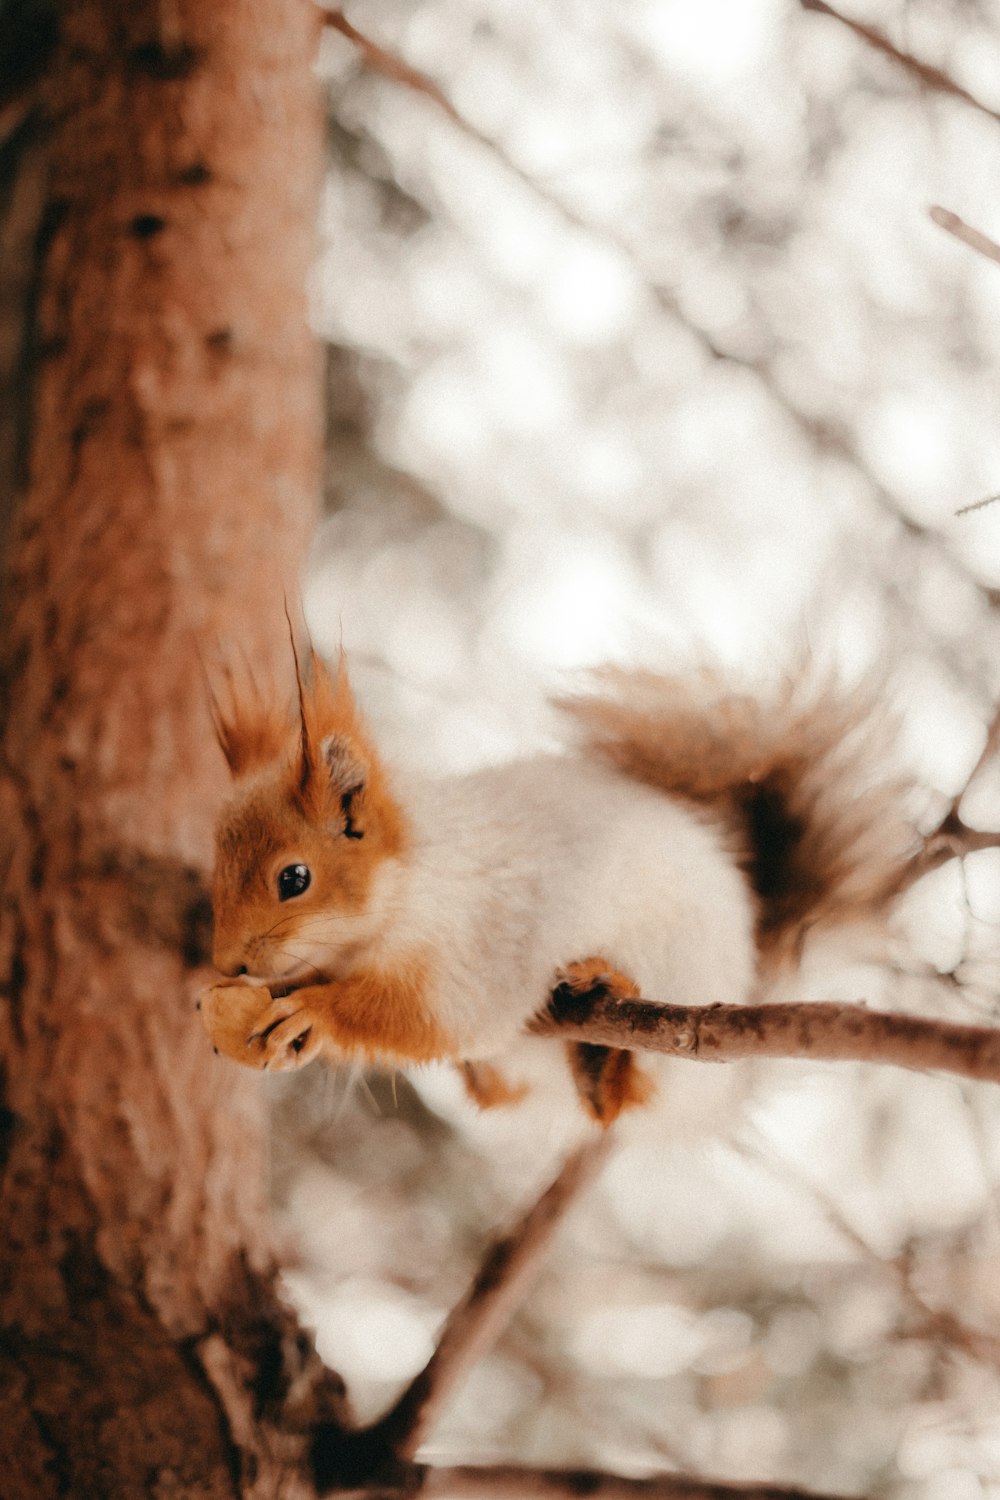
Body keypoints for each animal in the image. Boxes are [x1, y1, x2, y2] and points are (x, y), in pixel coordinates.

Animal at [200, 645, 917, 1128]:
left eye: (295, 878)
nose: (226, 962)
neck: (406, 890)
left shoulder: (478, 947)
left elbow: (441, 1016)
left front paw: (317, 1014)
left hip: (678, 991)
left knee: (629, 1098)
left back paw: (607, 1010)